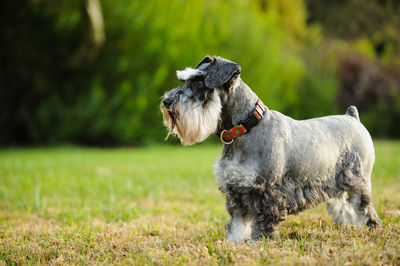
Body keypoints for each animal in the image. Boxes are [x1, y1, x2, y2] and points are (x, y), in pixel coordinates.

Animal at [160, 55, 382, 242]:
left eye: (199, 82)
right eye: (184, 81)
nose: (167, 101)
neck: (246, 129)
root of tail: (352, 117)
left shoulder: (266, 191)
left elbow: (262, 223)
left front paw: (258, 244)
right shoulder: (237, 190)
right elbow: (237, 223)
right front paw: (234, 243)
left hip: (358, 181)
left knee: (365, 208)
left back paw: (371, 227)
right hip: (334, 184)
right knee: (345, 208)